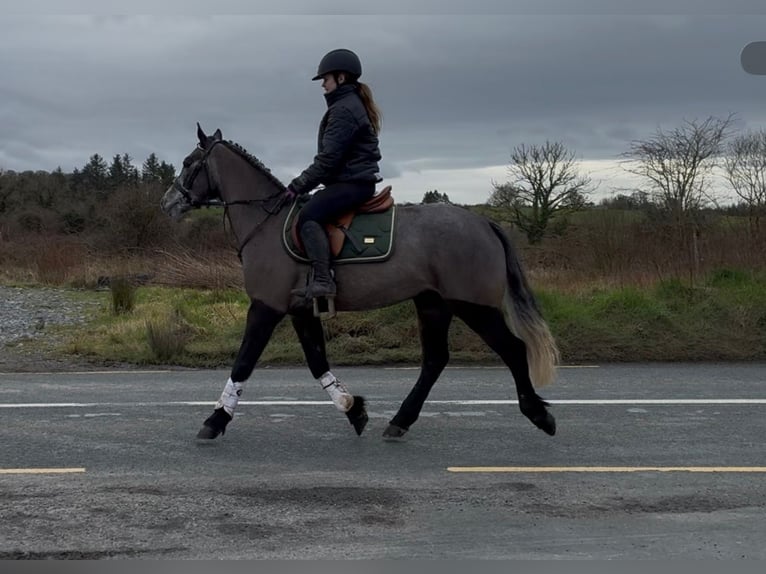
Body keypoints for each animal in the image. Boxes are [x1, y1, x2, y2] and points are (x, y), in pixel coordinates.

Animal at [160, 124, 560, 441]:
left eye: (189, 162)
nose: (167, 202)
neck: (267, 223)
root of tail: (484, 223)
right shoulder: (301, 310)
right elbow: (317, 362)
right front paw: (352, 408)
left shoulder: (266, 307)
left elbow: (243, 362)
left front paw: (215, 420)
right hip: (433, 303)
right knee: (435, 360)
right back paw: (400, 420)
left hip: (473, 306)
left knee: (513, 349)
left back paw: (539, 414)